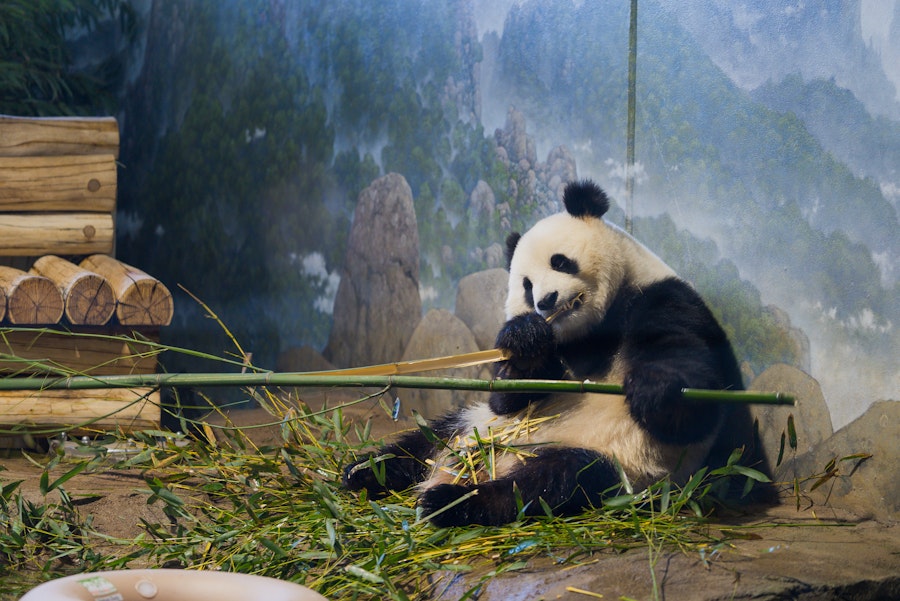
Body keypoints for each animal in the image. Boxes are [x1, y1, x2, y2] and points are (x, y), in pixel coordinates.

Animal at [343, 179, 748, 527]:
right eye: (525, 285)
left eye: (560, 261)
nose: (546, 301)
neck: (593, 329)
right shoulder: (553, 357)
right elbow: (510, 393)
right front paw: (526, 340)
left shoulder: (664, 298)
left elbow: (693, 396)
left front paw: (653, 389)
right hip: (474, 424)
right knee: (424, 441)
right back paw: (363, 471)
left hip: (618, 464)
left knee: (550, 482)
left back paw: (450, 502)